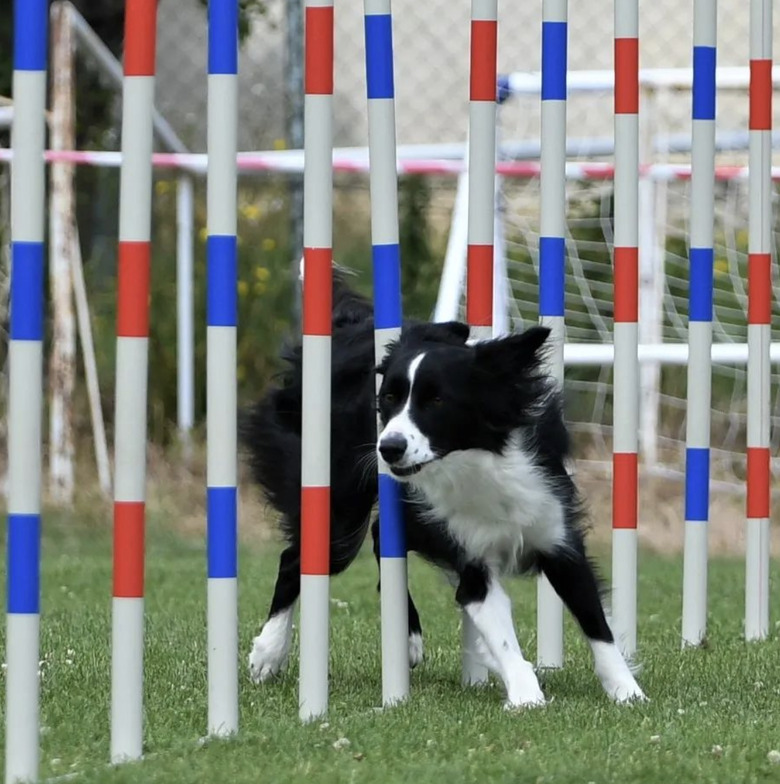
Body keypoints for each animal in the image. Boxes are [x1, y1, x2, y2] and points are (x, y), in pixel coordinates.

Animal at [241, 268, 644, 704]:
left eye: (437, 401)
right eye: (387, 399)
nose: (389, 448)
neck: (476, 461)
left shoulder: (557, 536)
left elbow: (597, 626)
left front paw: (627, 692)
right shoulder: (471, 562)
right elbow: (503, 635)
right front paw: (526, 696)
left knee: (380, 537)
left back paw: (408, 638)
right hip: (339, 510)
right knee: (297, 558)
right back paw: (269, 652)